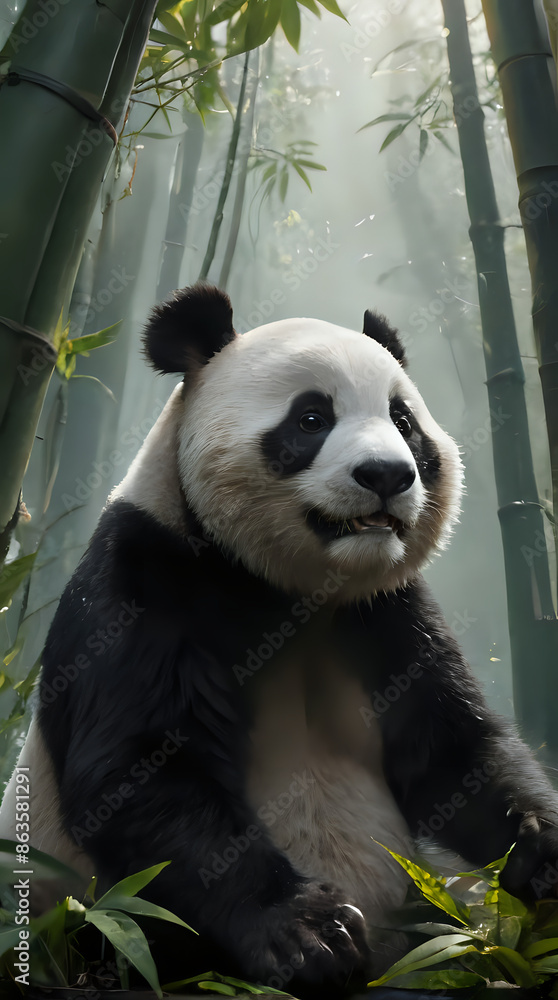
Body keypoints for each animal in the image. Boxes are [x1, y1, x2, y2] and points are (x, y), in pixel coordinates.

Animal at [2, 282, 558, 996]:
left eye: (403, 420)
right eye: (312, 419)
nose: (387, 475)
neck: (291, 587)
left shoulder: (386, 612)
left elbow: (453, 750)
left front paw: (540, 850)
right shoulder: (142, 578)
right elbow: (142, 771)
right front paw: (313, 933)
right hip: (84, 920)